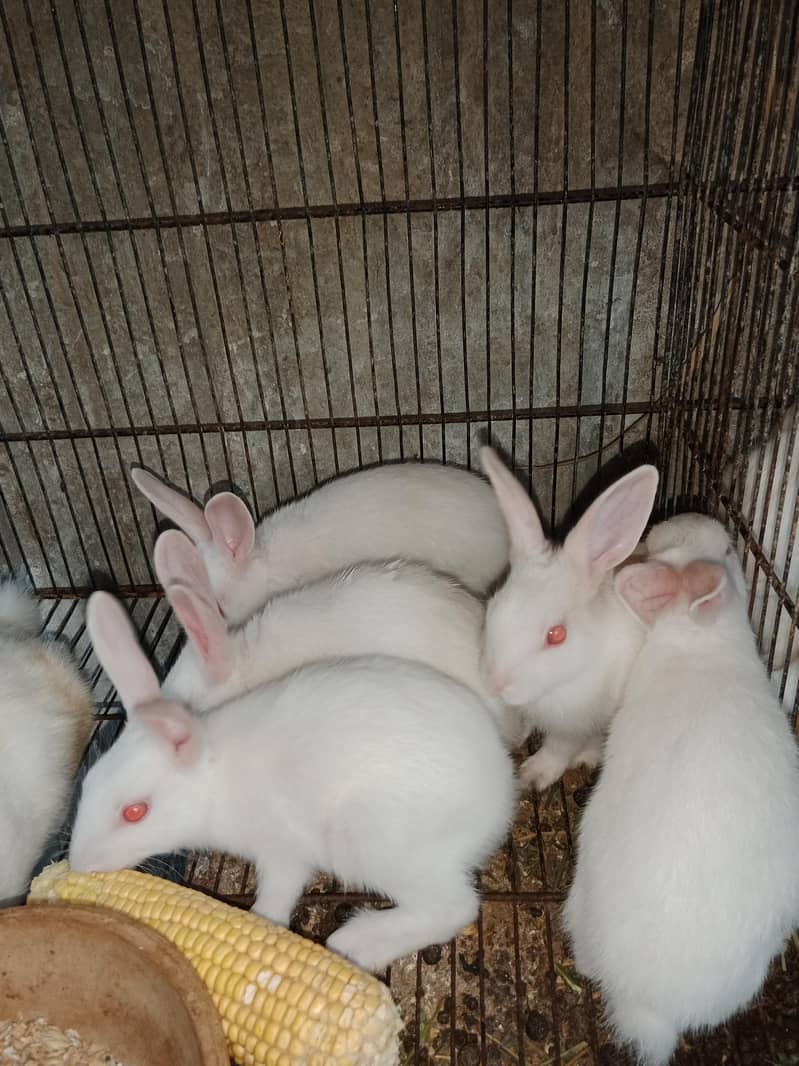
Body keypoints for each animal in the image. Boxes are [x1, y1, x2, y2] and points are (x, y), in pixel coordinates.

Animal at [68, 592, 517, 972]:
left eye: (135, 811)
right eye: (87, 786)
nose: (77, 865)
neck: (216, 779)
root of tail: (501, 798)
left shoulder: (282, 852)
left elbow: (277, 898)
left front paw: (259, 923)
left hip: (376, 842)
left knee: (454, 907)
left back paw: (357, 942)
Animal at [479, 447, 659, 790]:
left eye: (557, 635)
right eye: (493, 605)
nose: (495, 684)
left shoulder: (574, 725)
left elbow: (559, 748)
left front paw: (534, 775)